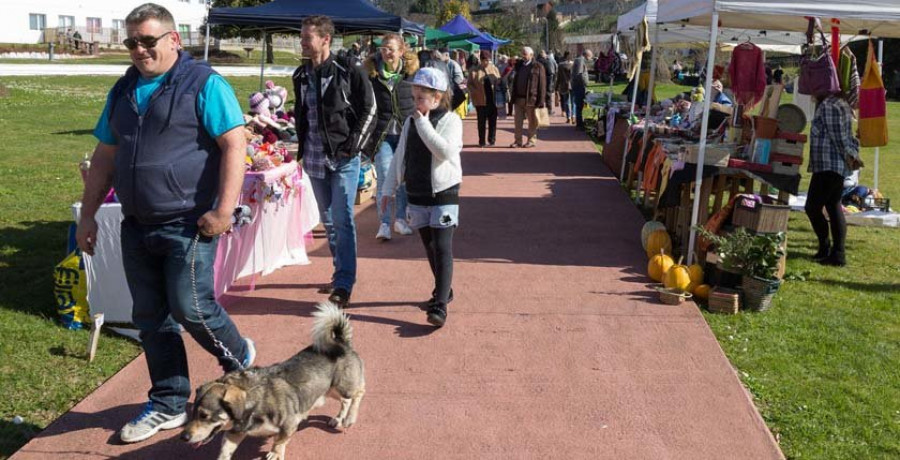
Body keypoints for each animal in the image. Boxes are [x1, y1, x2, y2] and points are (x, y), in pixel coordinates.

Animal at [181, 302, 364, 460]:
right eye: (193, 413)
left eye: (204, 415)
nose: (184, 437)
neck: (253, 401)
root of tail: (342, 342)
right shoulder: (234, 433)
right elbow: (225, 452)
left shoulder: (289, 424)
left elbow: (279, 441)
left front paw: (275, 454)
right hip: (329, 390)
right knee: (345, 401)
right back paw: (338, 419)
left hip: (341, 386)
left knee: (358, 394)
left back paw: (349, 419)